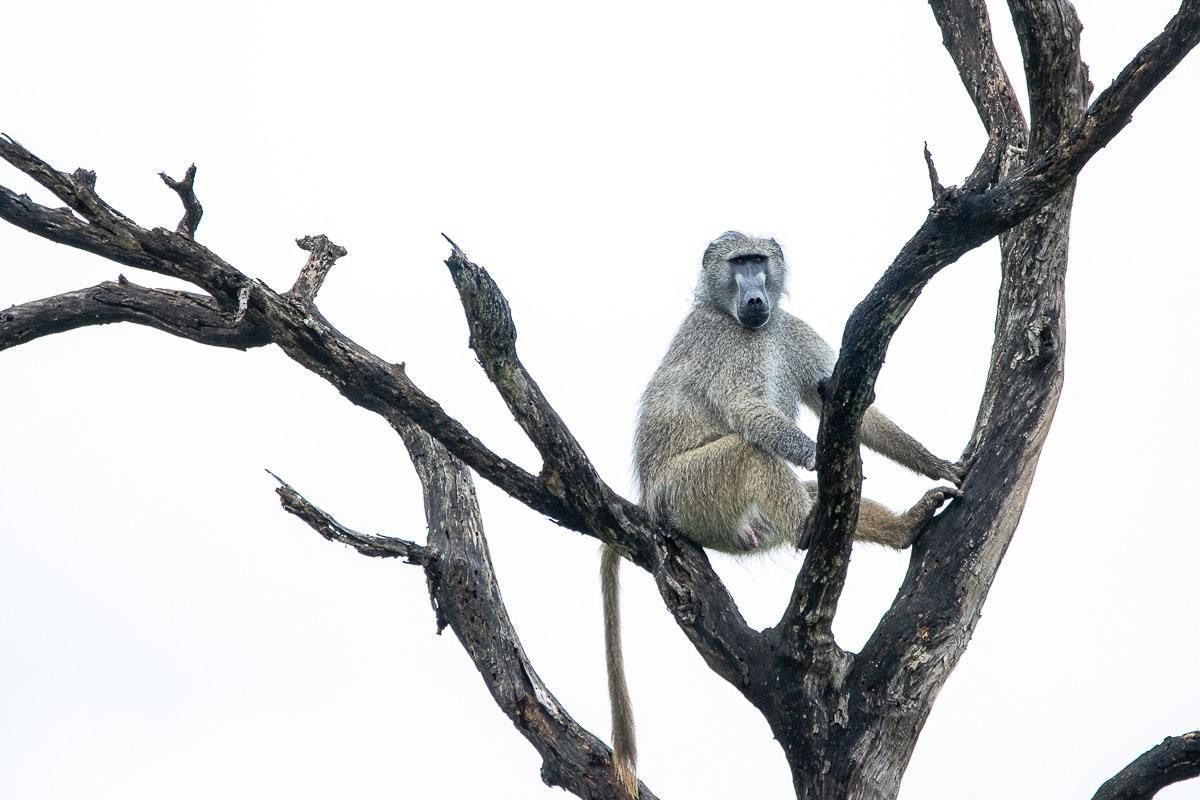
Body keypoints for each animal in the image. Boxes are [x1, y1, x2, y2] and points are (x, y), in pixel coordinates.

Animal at [602, 231, 963, 796]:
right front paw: (815, 454)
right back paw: (809, 525)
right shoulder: (720, 344)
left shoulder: (789, 331)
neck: (748, 325)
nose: (755, 298)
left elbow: (854, 410)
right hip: (687, 494)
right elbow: (749, 412)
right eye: (738, 264)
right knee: (751, 453)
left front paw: (934, 463)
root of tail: (647, 500)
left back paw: (901, 528)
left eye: (759, 262)